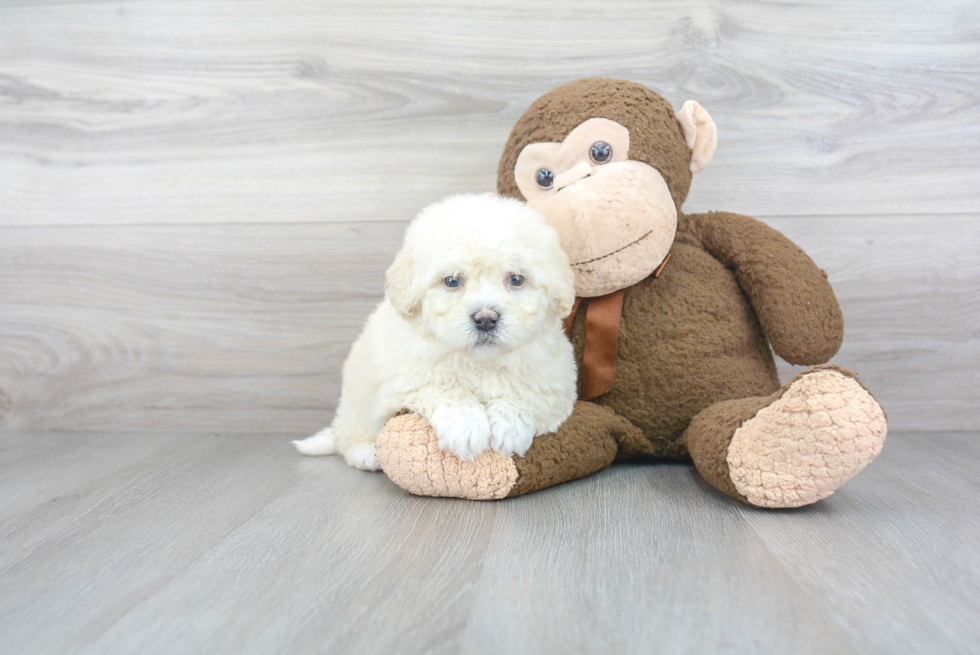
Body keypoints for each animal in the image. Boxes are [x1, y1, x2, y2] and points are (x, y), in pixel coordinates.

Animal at [294, 195, 580, 472]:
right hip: (356, 400)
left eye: (516, 279)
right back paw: (365, 453)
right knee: (349, 437)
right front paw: (466, 427)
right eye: (452, 281)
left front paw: (510, 426)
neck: (481, 362)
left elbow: (529, 393)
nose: (486, 319)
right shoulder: (404, 380)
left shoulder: (558, 381)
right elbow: (444, 387)